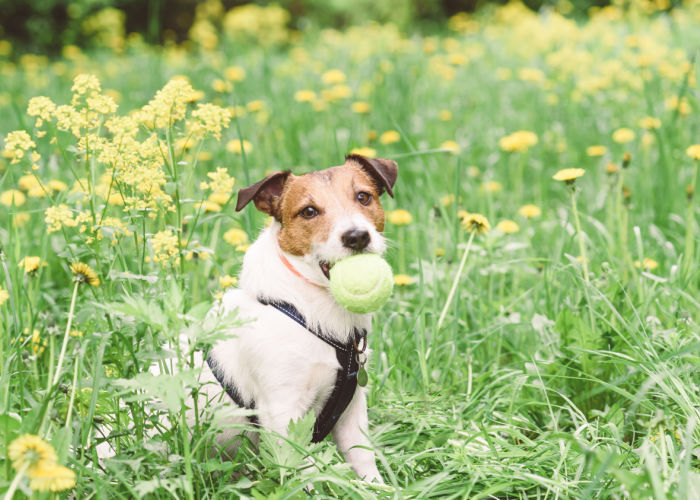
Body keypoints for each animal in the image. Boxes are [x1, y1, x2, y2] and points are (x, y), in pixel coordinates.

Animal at [200, 154, 400, 482]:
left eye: (363, 197)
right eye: (308, 211)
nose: (357, 236)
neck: (307, 310)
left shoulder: (352, 409)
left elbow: (362, 458)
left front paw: (380, 488)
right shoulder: (282, 410)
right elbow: (300, 468)